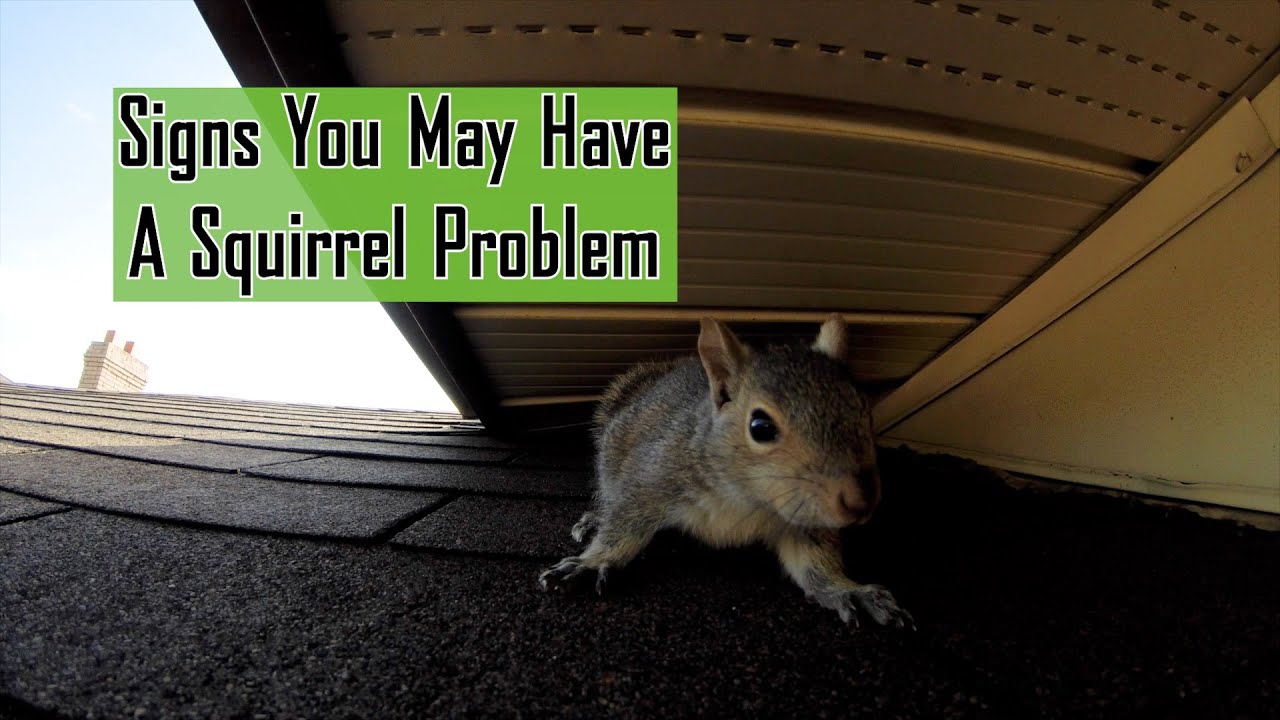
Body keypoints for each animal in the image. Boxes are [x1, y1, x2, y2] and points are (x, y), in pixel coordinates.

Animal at [538, 314, 913, 629]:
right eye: (760, 427)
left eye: (865, 412)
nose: (860, 502)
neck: (749, 495)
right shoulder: (651, 478)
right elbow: (624, 525)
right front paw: (593, 562)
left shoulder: (803, 519)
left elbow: (813, 562)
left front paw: (845, 589)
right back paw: (596, 517)